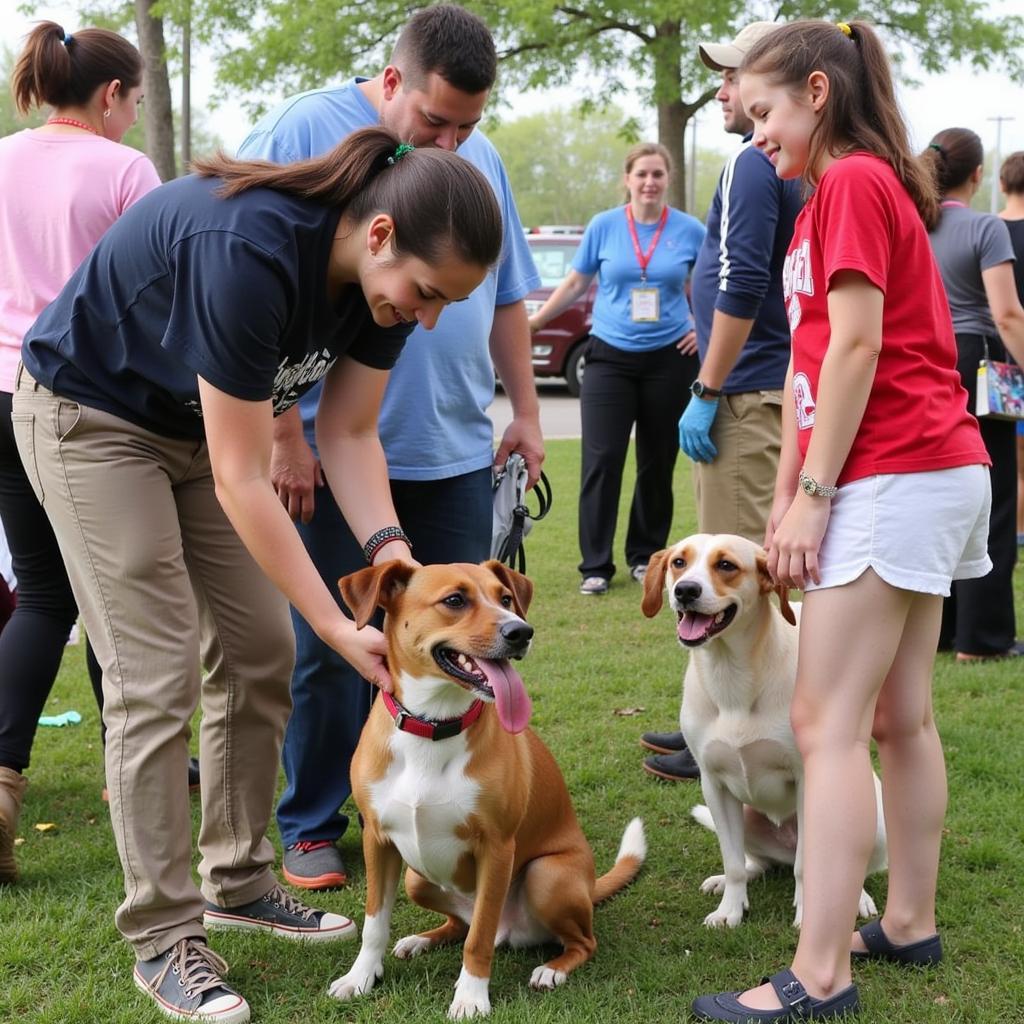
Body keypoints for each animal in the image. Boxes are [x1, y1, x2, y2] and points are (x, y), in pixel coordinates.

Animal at [331, 565, 643, 1019]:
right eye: (455, 600)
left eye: (506, 598)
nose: (521, 632)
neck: (433, 725)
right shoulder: (378, 839)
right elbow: (375, 922)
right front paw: (360, 977)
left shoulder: (497, 848)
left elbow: (478, 940)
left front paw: (471, 997)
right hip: (416, 878)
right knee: (460, 923)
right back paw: (422, 939)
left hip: (547, 875)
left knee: (577, 941)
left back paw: (553, 969)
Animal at [638, 536, 888, 929]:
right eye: (679, 562)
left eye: (726, 565)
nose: (685, 590)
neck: (731, 674)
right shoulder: (714, 785)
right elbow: (733, 862)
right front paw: (730, 908)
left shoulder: (807, 780)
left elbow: (807, 867)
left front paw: (807, 912)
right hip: (746, 816)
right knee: (756, 862)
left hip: (871, 820)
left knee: (847, 867)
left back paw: (858, 897)